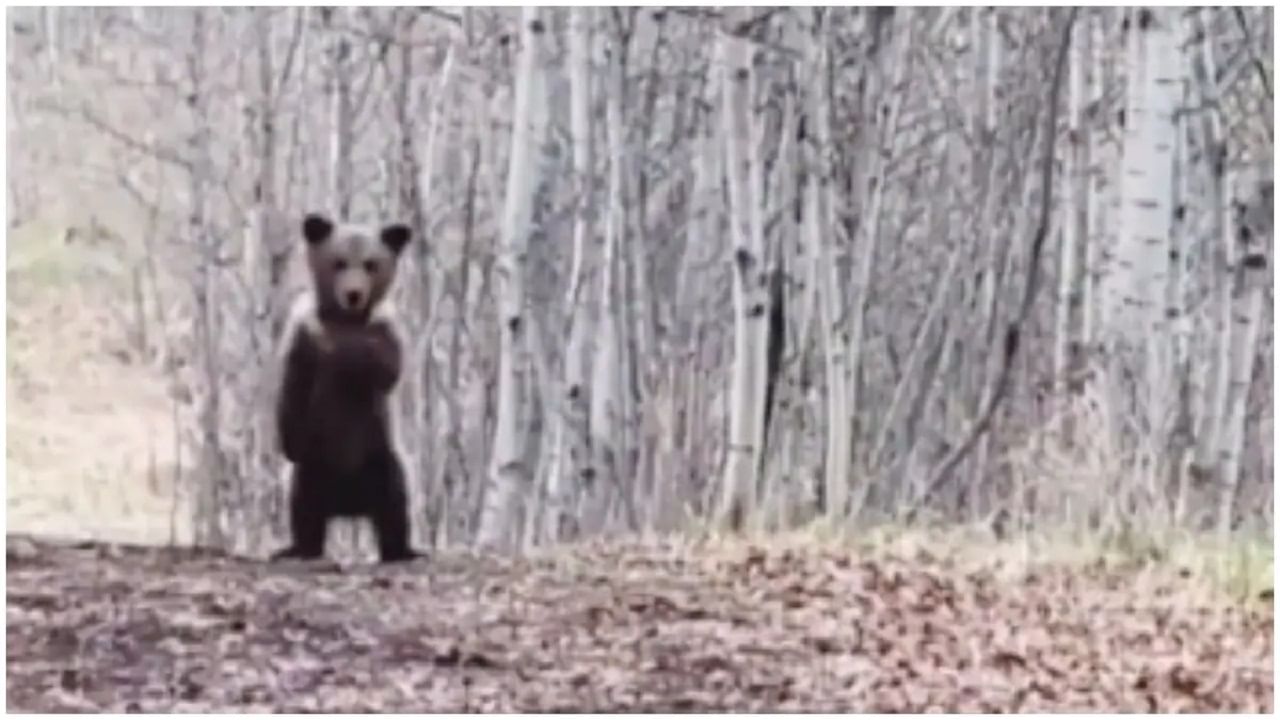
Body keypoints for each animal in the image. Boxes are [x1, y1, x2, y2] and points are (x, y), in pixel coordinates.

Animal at [271, 210, 424, 563]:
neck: (345, 321)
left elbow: (387, 370)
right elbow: (292, 389)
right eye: (338, 262)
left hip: (380, 457)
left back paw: (403, 551)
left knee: (395, 505)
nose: (353, 294)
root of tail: (348, 507)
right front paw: (287, 442)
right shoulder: (301, 334)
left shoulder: (386, 331)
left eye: (371, 264)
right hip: (316, 468)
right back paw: (297, 549)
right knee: (304, 508)